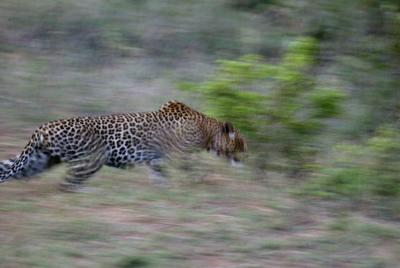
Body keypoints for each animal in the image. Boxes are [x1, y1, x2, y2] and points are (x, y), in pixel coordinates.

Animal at [0, 100, 247, 191]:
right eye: (241, 143)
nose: (246, 154)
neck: (207, 131)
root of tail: (42, 127)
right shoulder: (180, 154)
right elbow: (193, 170)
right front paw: (205, 183)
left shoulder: (156, 159)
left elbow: (160, 175)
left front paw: (163, 190)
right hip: (91, 159)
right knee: (68, 184)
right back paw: (89, 195)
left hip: (38, 161)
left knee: (10, 172)